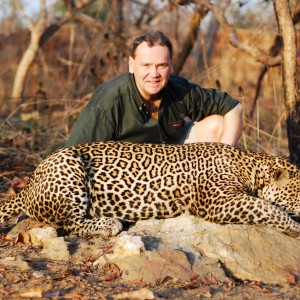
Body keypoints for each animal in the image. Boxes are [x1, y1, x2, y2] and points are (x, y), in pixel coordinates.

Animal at [0, 142, 300, 238]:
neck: (249, 165)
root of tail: (28, 184)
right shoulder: (219, 201)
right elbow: (267, 208)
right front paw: (296, 227)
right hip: (68, 164)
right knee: (70, 223)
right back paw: (109, 223)